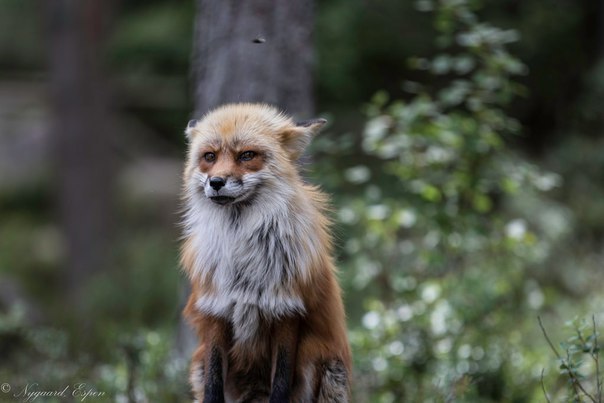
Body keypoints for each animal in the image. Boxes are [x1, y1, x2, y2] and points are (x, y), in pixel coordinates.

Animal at [179, 102, 352, 402]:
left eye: (247, 155)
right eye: (209, 156)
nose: (216, 182)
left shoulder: (286, 310)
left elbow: (280, 383)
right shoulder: (216, 310)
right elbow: (214, 384)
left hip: (324, 367)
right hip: (198, 367)